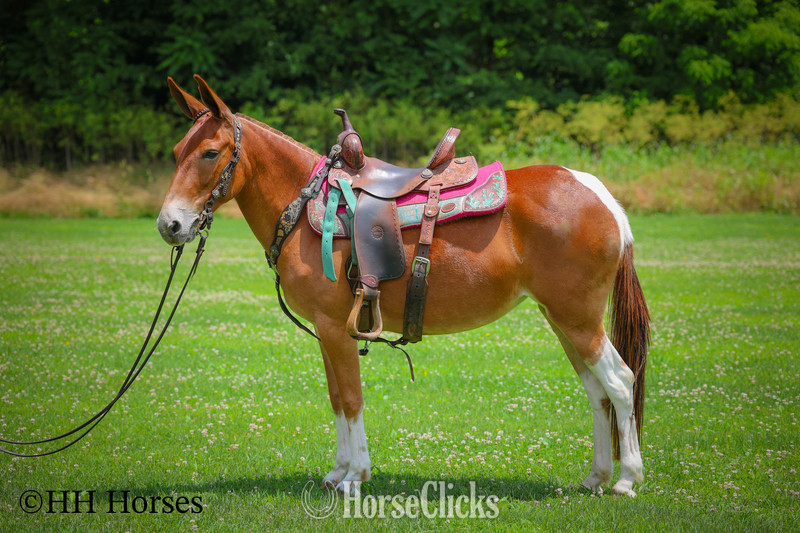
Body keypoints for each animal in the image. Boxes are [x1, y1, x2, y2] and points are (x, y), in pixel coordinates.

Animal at [157, 75, 650, 497]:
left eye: (210, 153)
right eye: (178, 149)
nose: (170, 225)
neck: (303, 204)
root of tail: (601, 196)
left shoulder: (336, 327)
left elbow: (351, 398)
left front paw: (355, 476)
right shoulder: (326, 330)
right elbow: (337, 398)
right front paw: (338, 472)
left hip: (579, 319)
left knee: (620, 381)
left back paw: (626, 479)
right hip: (562, 319)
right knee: (596, 389)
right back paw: (595, 477)